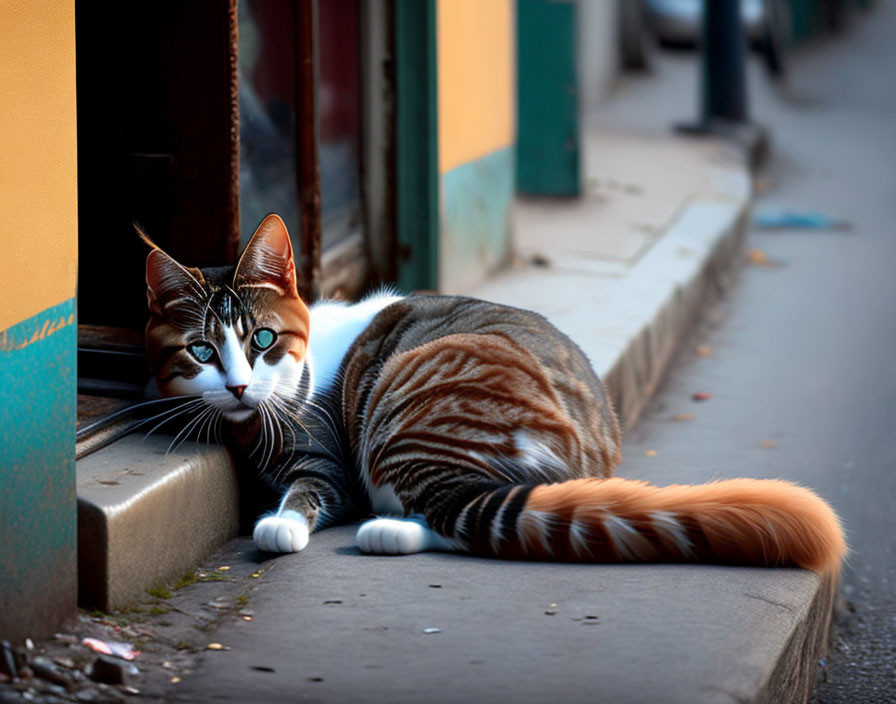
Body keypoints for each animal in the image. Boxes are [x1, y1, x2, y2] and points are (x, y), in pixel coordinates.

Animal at [144, 217, 844, 576]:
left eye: (261, 340)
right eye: (202, 352)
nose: (237, 384)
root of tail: (591, 457)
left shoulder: (330, 462)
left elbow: (307, 490)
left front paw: (280, 525)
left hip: (403, 409)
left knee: (464, 515)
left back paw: (381, 533)